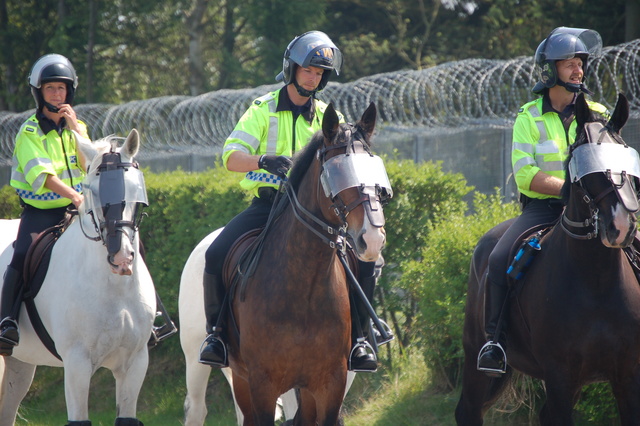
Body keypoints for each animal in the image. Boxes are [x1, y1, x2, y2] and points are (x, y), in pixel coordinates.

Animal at [0, 130, 154, 426]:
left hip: (19, 363)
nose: (121, 257)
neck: (114, 288)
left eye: (135, 188)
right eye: (91, 190)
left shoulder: (135, 363)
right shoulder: (77, 363)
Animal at [456, 93, 640, 426]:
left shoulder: (627, 375)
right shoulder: (559, 377)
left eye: (627, 158)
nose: (622, 225)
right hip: (477, 355)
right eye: (588, 165)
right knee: (468, 411)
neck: (596, 282)